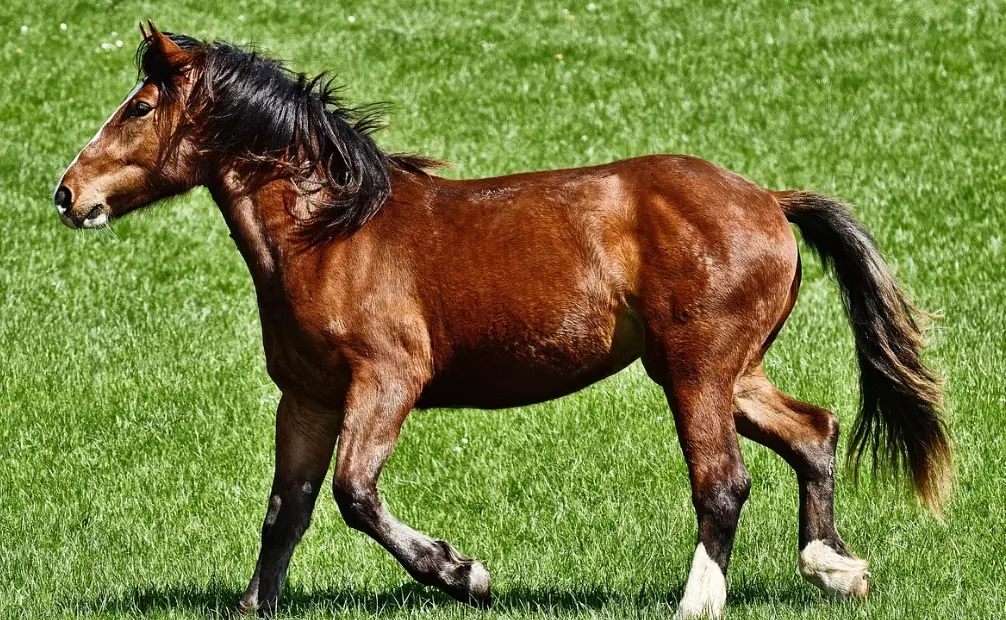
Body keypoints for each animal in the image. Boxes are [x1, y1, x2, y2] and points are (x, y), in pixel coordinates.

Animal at [53, 22, 950, 618]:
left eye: (138, 109)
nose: (67, 194)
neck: (331, 234)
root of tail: (768, 199)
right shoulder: (305, 398)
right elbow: (288, 512)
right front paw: (253, 605)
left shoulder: (388, 381)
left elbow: (354, 494)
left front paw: (463, 572)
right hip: (728, 371)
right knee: (815, 432)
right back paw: (835, 568)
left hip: (696, 370)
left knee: (723, 481)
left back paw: (699, 602)